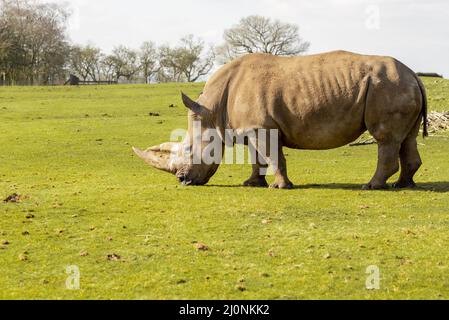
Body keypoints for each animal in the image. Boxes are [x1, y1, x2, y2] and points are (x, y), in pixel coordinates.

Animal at [133, 51, 428, 189]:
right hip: (398, 85)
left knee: (385, 139)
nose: (182, 180)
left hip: (388, 86)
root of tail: (414, 73)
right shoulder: (252, 127)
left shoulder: (262, 127)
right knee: (406, 138)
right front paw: (251, 183)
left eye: (190, 150)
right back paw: (403, 185)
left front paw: (279, 187)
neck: (212, 111)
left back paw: (372, 186)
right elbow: (257, 157)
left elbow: (273, 156)